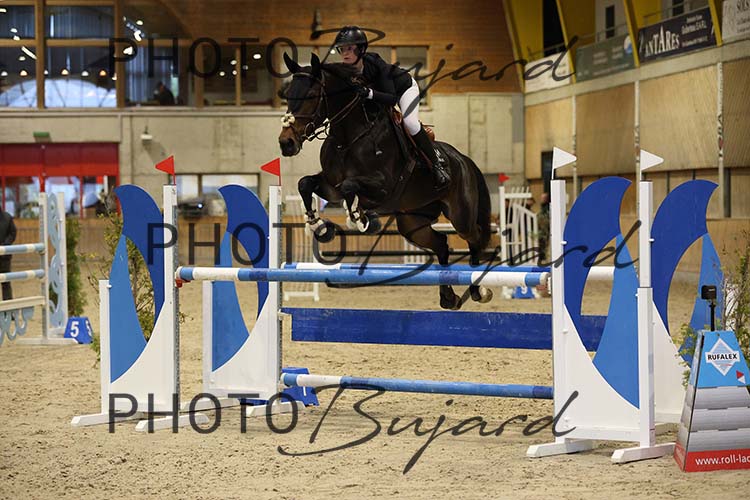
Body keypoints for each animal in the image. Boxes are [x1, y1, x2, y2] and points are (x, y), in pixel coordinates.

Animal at [278, 53, 494, 310]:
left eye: (311, 96)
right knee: (442, 243)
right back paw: (448, 297)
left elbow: (350, 187)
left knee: (475, 237)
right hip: (412, 222)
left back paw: (479, 289)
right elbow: (305, 184)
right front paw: (321, 228)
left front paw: (362, 219)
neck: (348, 137)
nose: (286, 143)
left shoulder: (383, 187)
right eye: (288, 94)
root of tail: (464, 159)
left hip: (460, 215)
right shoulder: (331, 186)